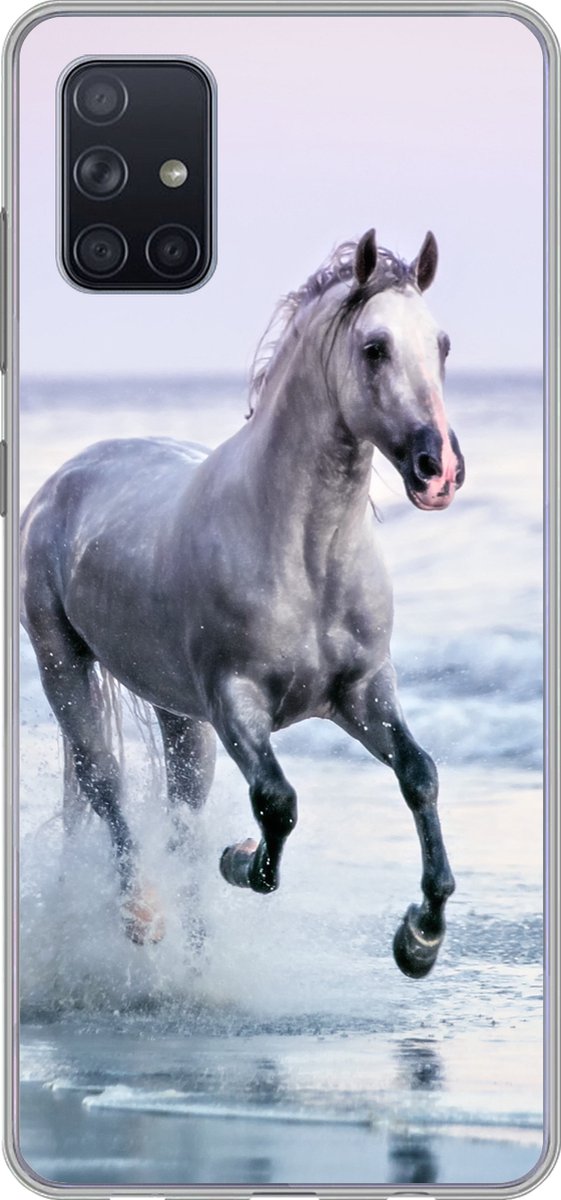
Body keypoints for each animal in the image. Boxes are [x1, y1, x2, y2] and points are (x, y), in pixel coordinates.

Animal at [20, 229, 465, 978]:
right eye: (374, 347)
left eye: (441, 344)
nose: (439, 471)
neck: (305, 553)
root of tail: (63, 479)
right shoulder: (236, 701)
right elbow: (277, 804)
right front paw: (241, 860)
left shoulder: (362, 693)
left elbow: (419, 776)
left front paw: (419, 940)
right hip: (66, 669)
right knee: (106, 786)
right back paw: (142, 915)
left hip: (177, 715)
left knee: (181, 816)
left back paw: (199, 963)